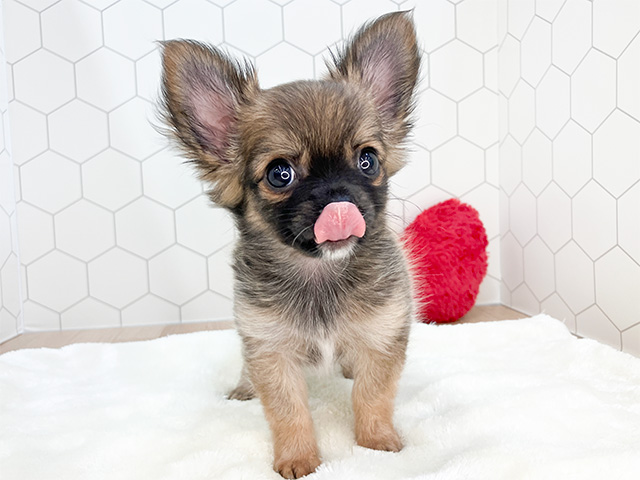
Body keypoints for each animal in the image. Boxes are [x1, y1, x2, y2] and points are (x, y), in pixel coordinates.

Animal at [160, 12, 420, 480]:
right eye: (280, 174)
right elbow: (288, 411)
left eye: (368, 160)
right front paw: (299, 459)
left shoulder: (383, 335)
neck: (320, 273)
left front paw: (377, 444)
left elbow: (372, 395)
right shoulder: (270, 350)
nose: (339, 198)